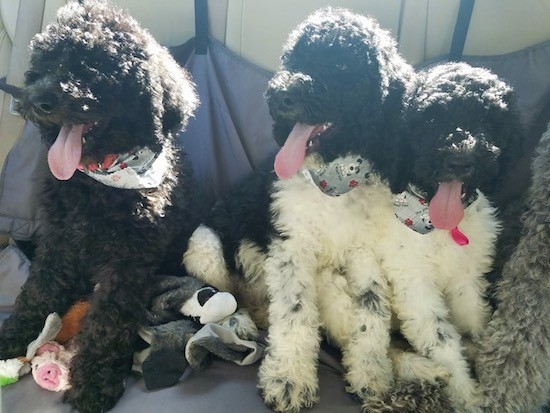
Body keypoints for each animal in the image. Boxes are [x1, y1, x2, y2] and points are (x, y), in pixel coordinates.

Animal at [0, 1, 199, 410]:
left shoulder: (128, 261)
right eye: (44, 64)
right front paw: (15, 335)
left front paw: (93, 380)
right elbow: (39, 289)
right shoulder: (59, 241)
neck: (97, 181)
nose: (39, 101)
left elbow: (108, 320)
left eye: (93, 67)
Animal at [183, 6, 524, 412]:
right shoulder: (292, 248)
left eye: (342, 67)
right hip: (206, 247)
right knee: (225, 295)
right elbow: (296, 312)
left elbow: (372, 310)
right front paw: (289, 378)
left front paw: (371, 373)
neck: (334, 182)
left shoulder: (365, 254)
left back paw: (421, 367)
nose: (281, 94)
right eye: (293, 59)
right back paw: (240, 323)